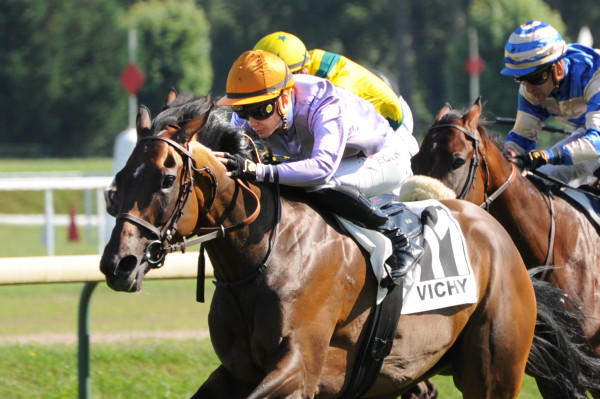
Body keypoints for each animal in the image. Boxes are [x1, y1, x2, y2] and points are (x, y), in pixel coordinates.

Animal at [98, 93, 540, 399]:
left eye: (166, 180)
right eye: (119, 179)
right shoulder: (237, 371)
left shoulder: (299, 367)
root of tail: (493, 228)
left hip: (494, 372)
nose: (118, 264)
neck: (264, 256)